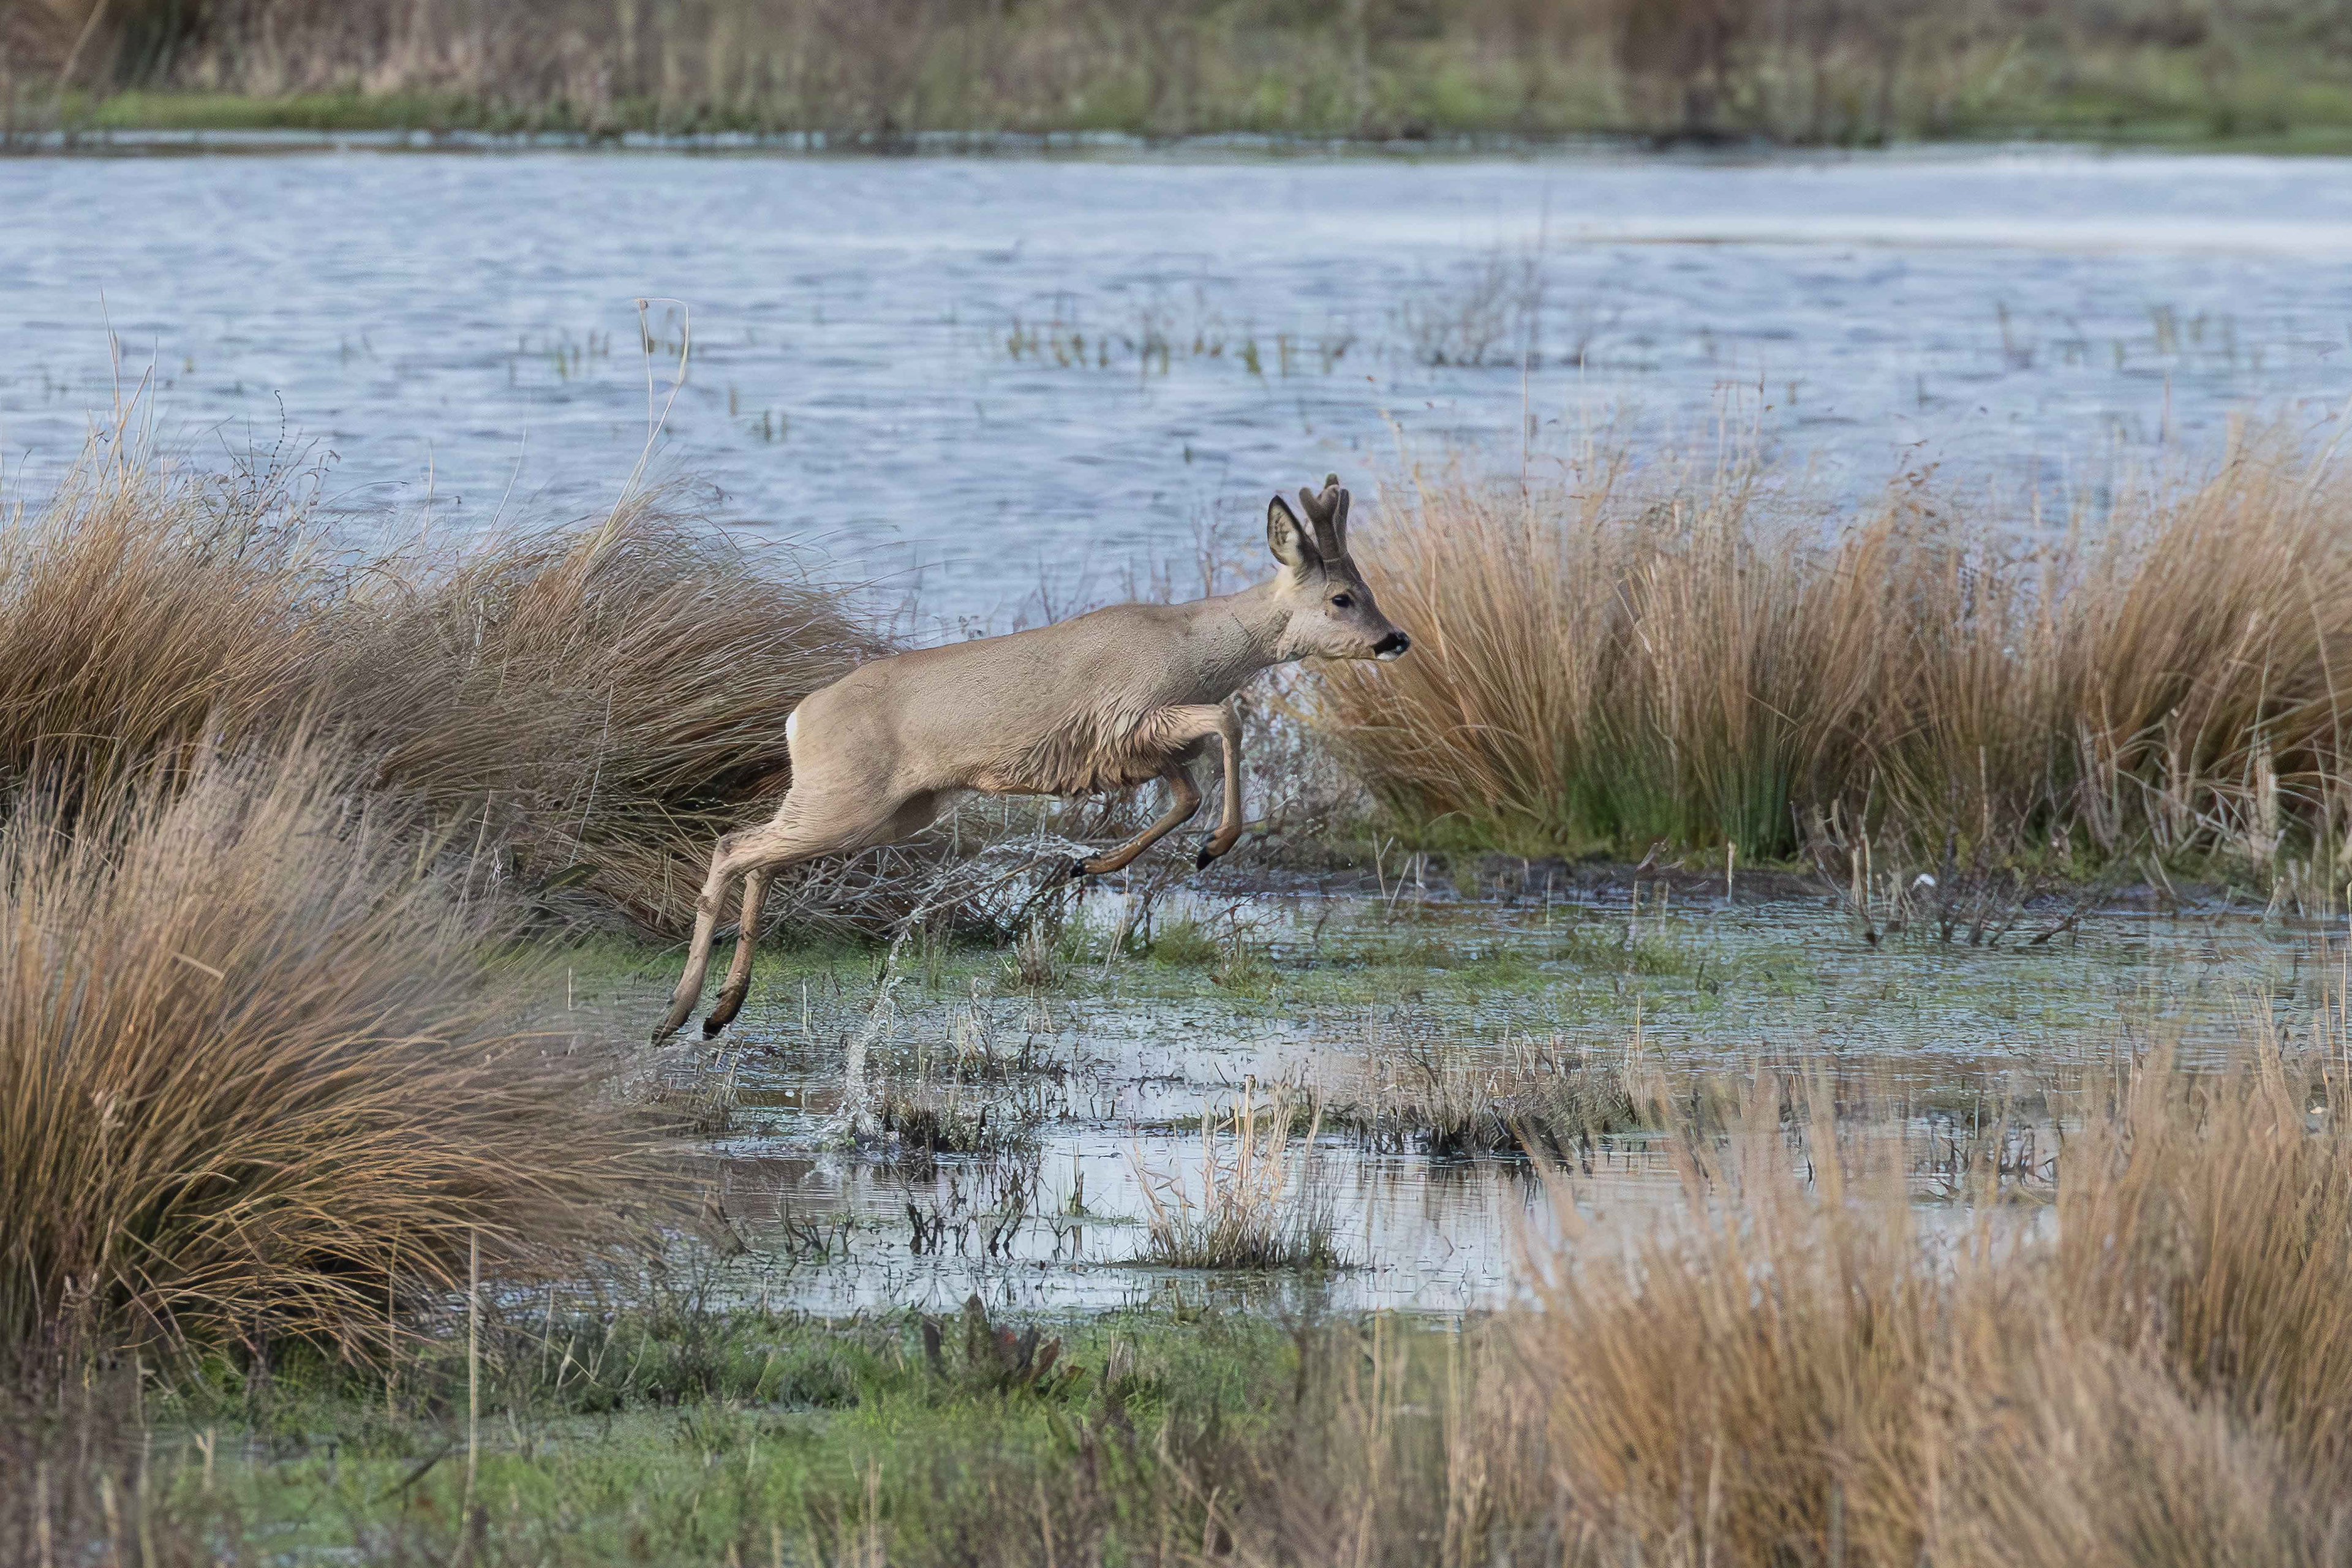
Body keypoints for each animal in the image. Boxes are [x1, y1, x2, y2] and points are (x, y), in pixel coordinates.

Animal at [652, 474, 1410, 1042]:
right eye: (1342, 597)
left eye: (1368, 589)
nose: (1395, 638)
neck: (1199, 649)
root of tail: (797, 718)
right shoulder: (1134, 712)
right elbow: (1230, 721)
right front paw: (1215, 847)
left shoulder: (1140, 748)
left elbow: (1188, 792)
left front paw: (1094, 863)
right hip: (850, 797)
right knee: (734, 847)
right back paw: (677, 1013)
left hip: (887, 810)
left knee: (760, 857)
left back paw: (720, 1012)